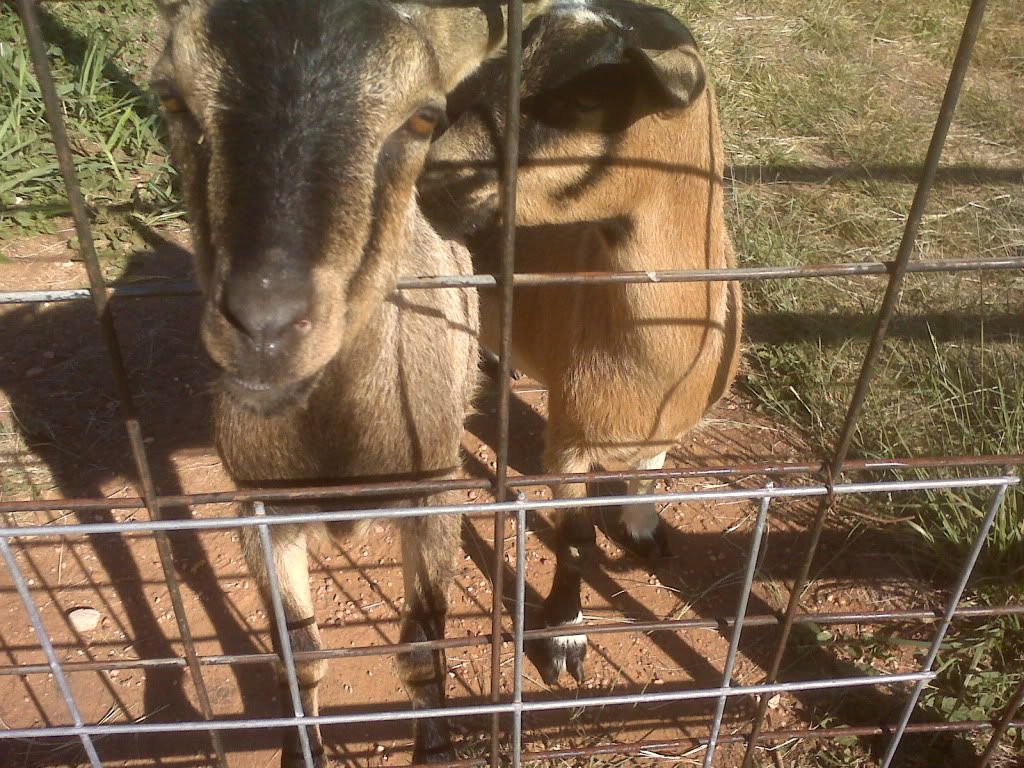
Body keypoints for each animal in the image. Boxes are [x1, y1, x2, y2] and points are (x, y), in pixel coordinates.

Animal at [150, 0, 549, 763]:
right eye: (172, 97)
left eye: (423, 116)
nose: (266, 323)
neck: (338, 447)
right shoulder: (259, 507)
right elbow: (299, 654)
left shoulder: (434, 493)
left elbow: (422, 646)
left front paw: (435, 747)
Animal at [420, 0, 742, 685]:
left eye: (590, 95)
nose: (428, 180)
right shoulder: (567, 436)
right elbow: (574, 540)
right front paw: (565, 637)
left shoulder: (664, 418)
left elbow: (650, 471)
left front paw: (645, 531)